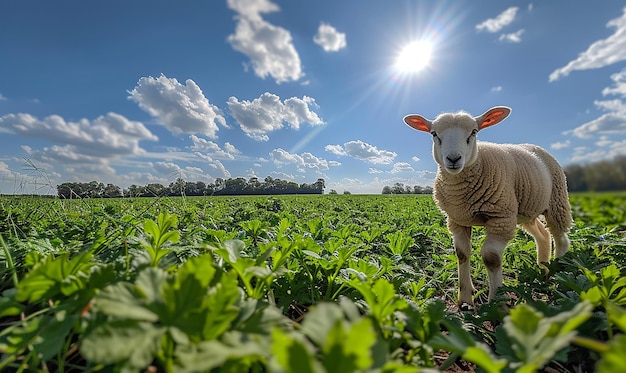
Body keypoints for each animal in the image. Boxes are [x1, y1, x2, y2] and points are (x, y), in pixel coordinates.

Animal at [400, 105, 572, 306]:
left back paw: (559, 275)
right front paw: (465, 299)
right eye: (434, 134)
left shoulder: (501, 218)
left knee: (561, 238)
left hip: (557, 201)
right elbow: (462, 254)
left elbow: (491, 258)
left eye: (474, 132)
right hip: (524, 211)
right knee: (543, 235)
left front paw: (497, 303)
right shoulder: (457, 219)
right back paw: (543, 272)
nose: (453, 159)